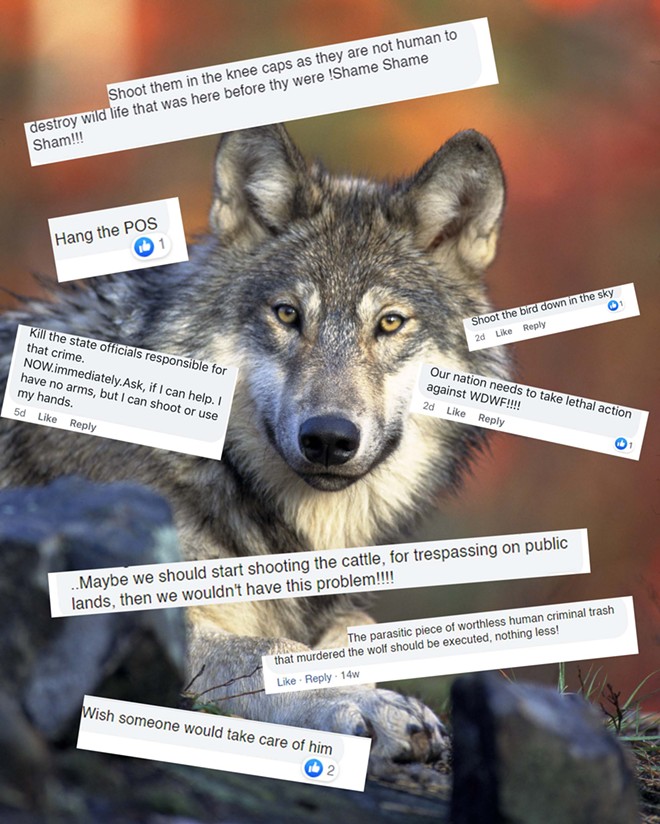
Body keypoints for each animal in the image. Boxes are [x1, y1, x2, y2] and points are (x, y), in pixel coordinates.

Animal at [0, 123, 507, 767]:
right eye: (288, 314)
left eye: (390, 323)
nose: (328, 438)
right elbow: (269, 650)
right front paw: (370, 705)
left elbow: (351, 632)